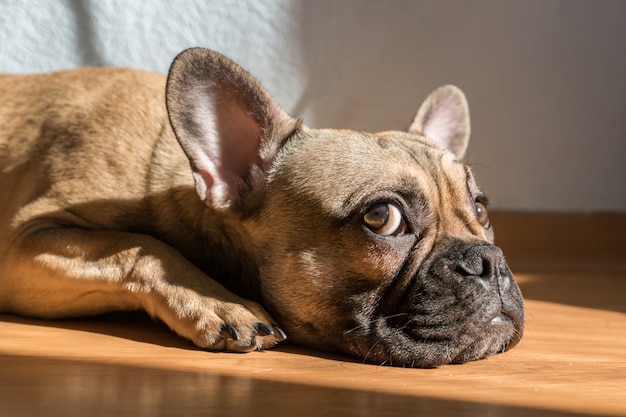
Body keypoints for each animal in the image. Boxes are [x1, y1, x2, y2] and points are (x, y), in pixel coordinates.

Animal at [0, 48, 520, 368]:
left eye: (480, 210)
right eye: (382, 218)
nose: (490, 261)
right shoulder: (27, 243)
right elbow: (137, 245)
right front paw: (219, 301)